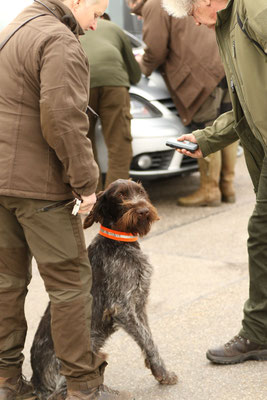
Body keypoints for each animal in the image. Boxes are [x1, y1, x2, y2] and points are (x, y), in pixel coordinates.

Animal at [30, 180, 178, 398]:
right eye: (120, 196)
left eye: (141, 192)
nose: (143, 210)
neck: (118, 242)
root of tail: (37, 383)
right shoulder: (122, 309)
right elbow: (147, 340)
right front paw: (163, 374)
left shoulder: (139, 305)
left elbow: (148, 337)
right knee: (67, 389)